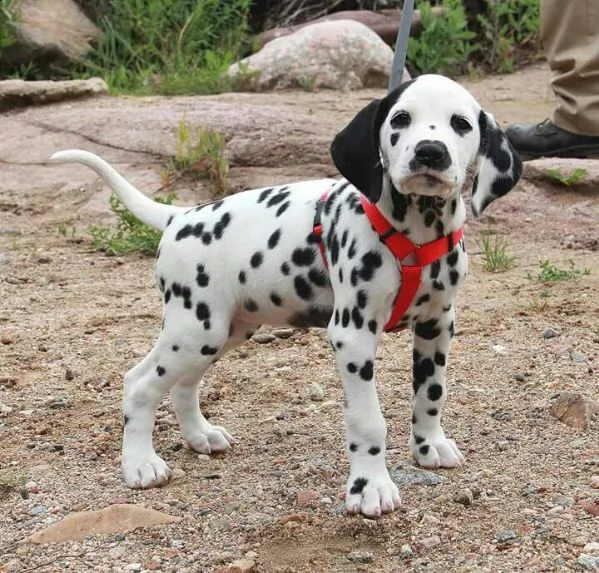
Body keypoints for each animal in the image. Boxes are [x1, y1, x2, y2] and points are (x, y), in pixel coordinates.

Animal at [51, 73, 520, 516]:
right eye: (401, 118)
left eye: (461, 124)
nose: (430, 152)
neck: (417, 233)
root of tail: (180, 217)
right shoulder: (353, 335)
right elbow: (367, 421)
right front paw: (370, 487)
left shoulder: (437, 325)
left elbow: (431, 393)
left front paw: (429, 446)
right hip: (195, 329)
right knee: (140, 382)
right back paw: (140, 464)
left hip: (224, 331)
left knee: (182, 384)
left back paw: (200, 435)